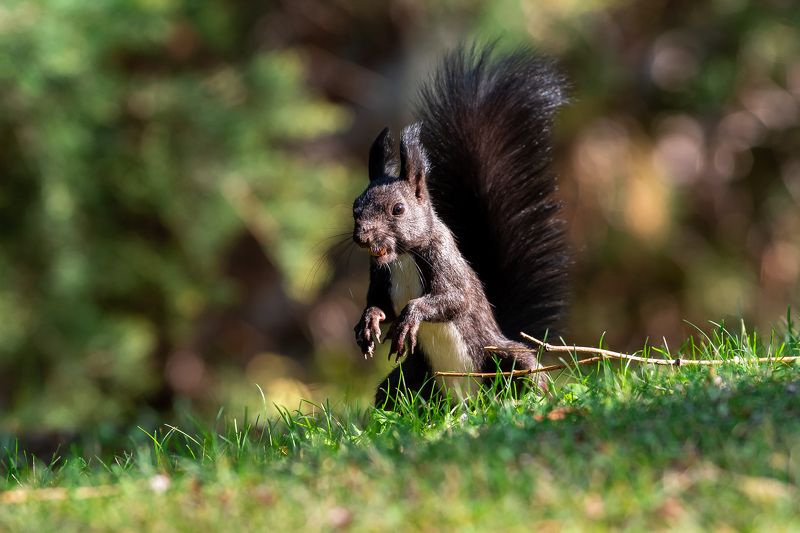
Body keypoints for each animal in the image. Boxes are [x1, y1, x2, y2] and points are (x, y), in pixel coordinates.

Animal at [352, 45, 569, 408]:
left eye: (398, 209)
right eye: (355, 206)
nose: (362, 237)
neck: (404, 258)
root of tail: (469, 401)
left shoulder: (447, 265)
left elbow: (454, 299)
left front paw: (410, 319)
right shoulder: (381, 276)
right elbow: (380, 305)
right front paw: (369, 322)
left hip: (502, 356)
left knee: (526, 370)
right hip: (408, 380)